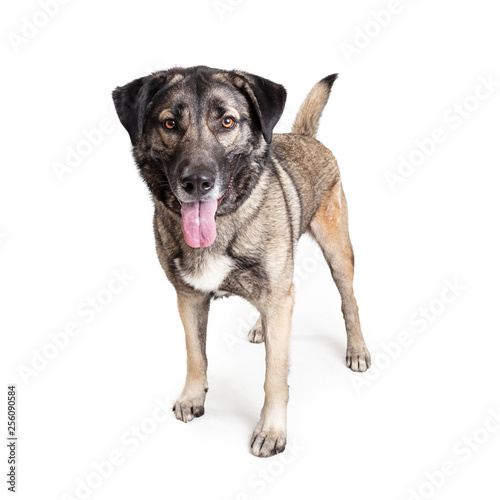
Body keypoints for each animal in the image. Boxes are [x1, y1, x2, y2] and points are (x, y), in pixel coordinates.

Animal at [113, 66, 372, 458]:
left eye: (227, 121)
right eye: (170, 123)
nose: (197, 182)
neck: (223, 223)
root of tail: (303, 136)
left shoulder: (279, 298)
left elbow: (275, 376)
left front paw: (272, 430)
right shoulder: (189, 298)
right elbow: (195, 355)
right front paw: (193, 397)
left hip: (337, 252)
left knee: (349, 301)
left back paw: (356, 348)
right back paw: (261, 327)